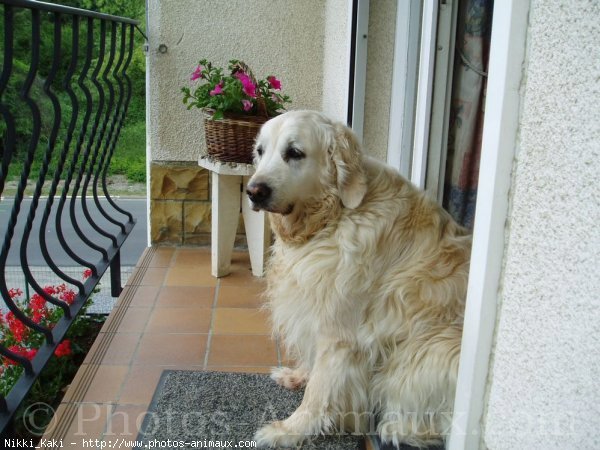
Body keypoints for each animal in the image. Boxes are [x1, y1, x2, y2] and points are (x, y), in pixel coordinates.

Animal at [246, 109, 472, 446]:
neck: (333, 217)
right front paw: (298, 376)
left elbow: (319, 392)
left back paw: (399, 428)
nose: (254, 191)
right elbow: (314, 367)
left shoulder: (341, 334)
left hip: (431, 349)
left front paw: (289, 430)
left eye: (295, 152)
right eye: (260, 151)